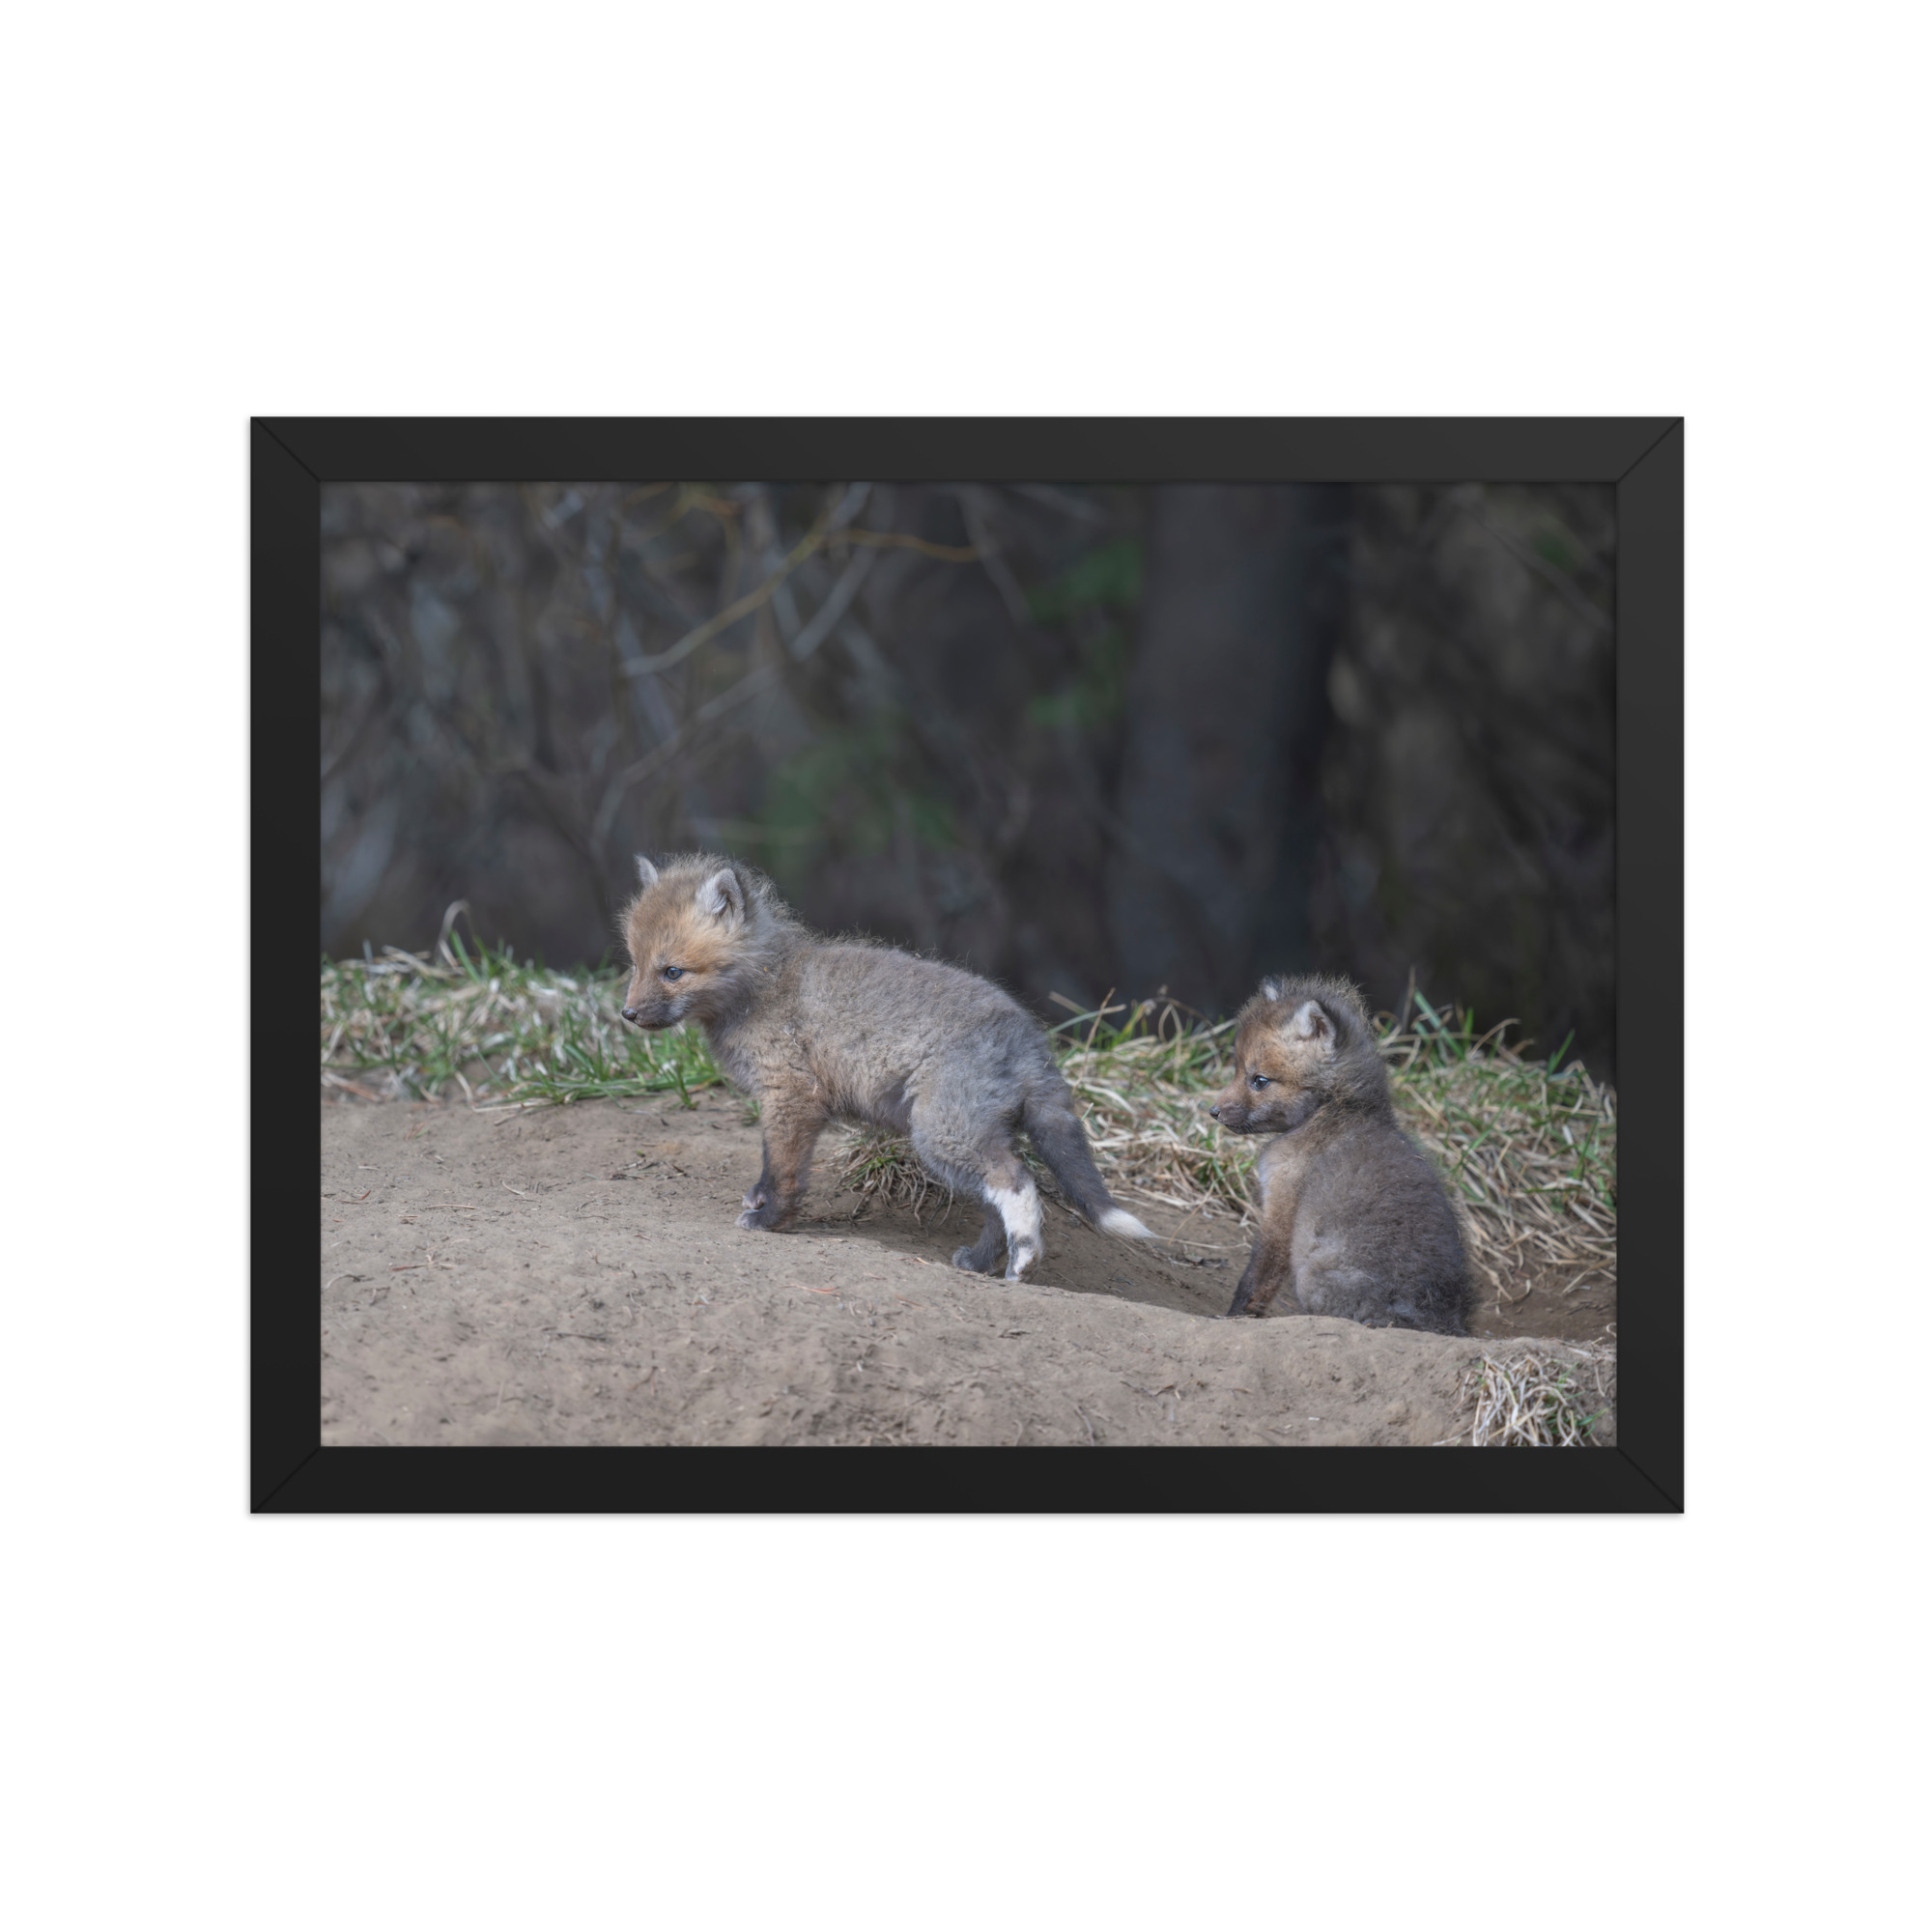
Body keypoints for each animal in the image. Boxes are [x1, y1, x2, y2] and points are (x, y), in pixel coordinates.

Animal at [617, 853, 1155, 1280]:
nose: (628, 1014)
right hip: (966, 1139)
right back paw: (982, 1263)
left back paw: (1024, 1261)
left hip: (942, 1134)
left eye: (673, 972)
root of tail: (1031, 1039)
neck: (763, 986)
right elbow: (773, 1164)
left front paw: (770, 1220)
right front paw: (762, 1202)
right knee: (994, 1203)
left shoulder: (792, 1096)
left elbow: (783, 1169)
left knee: (1017, 1182)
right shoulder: (788, 1102)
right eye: (635, 964)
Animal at [1208, 975, 1470, 1334]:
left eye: (1259, 1080)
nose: (1213, 1111)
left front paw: (1233, 1318)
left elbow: (1255, 1279)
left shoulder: (1281, 1206)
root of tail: (1437, 1320)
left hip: (1311, 1277)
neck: (1334, 1109)